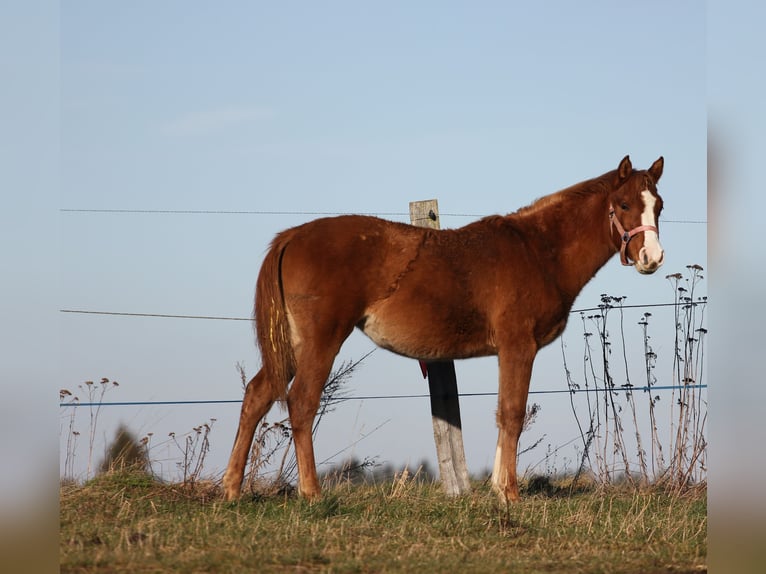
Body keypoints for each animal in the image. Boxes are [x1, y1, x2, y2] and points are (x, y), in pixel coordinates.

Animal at [223, 155, 665, 503]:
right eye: (624, 203)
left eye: (658, 206)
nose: (652, 257)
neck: (536, 251)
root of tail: (292, 236)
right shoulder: (517, 346)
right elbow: (512, 413)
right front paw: (508, 493)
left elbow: (504, 413)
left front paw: (498, 487)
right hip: (321, 339)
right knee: (301, 402)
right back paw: (311, 493)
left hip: (292, 345)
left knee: (257, 394)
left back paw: (232, 489)